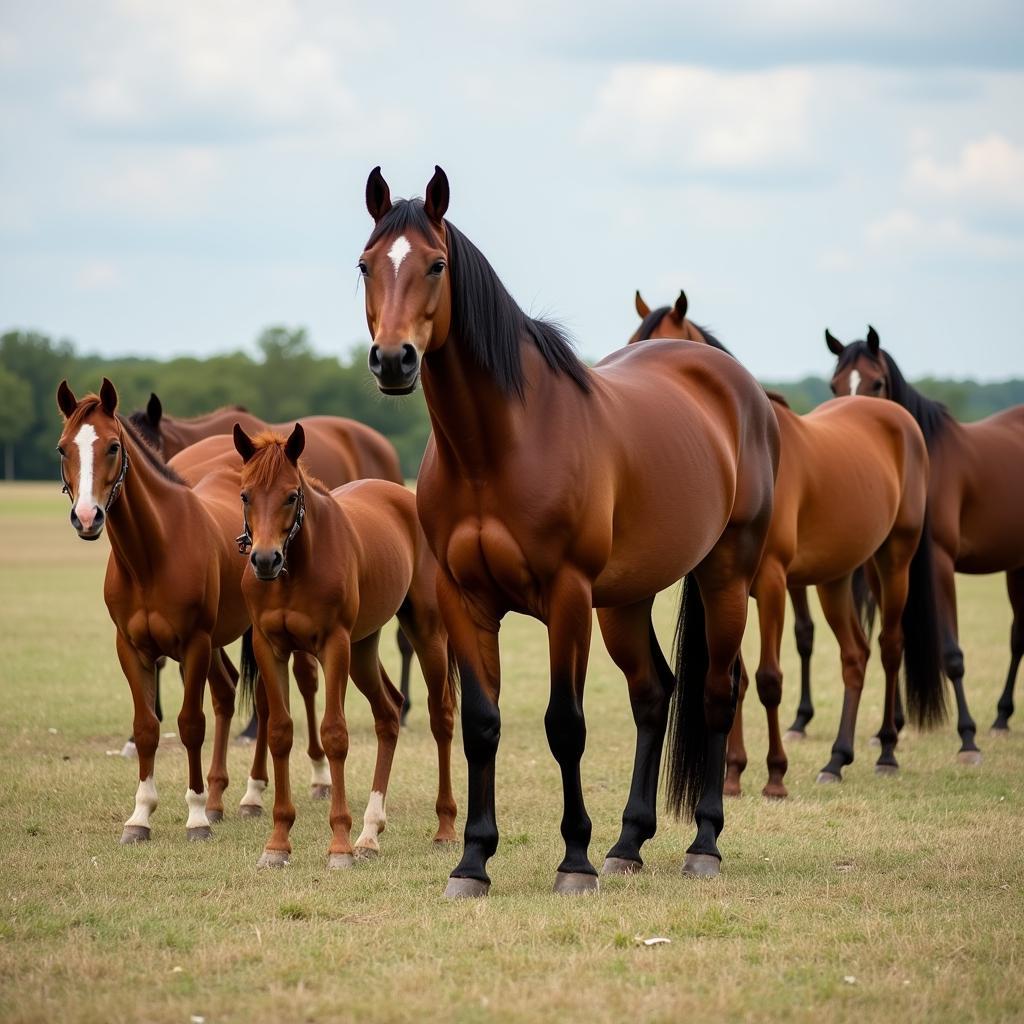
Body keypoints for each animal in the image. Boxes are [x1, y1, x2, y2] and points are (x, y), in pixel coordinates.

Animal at [57, 380, 254, 843]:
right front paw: (140, 817)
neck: (153, 553)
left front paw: (196, 818)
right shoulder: (133, 648)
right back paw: (218, 799)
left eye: (113, 446)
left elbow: (190, 724)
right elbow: (146, 728)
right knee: (225, 692)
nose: (87, 517)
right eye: (62, 449)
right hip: (218, 642)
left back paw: (256, 796)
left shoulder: (194, 644)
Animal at [234, 419, 458, 868]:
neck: (295, 570)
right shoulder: (271, 648)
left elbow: (334, 734)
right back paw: (370, 834)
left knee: (440, 716)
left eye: (291, 495)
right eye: (246, 494)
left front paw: (338, 844)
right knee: (388, 712)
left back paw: (444, 828)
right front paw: (277, 843)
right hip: (364, 649)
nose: (265, 560)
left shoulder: (333, 646)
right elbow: (280, 732)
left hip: (425, 634)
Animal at [358, 165, 774, 897]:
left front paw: (573, 861)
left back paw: (703, 846)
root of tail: (733, 383)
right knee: (653, 694)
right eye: (364, 266)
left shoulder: (567, 596)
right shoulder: (466, 601)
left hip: (724, 575)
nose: (393, 361)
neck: (497, 448)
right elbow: (482, 724)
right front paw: (472, 862)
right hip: (626, 601)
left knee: (717, 695)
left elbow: (565, 725)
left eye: (436, 264)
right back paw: (628, 843)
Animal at [720, 391, 942, 790]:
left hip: (893, 563)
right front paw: (733, 774)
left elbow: (768, 679)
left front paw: (775, 776)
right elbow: (737, 680)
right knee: (855, 656)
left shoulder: (773, 584)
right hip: (836, 581)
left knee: (890, 648)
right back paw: (836, 760)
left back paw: (887, 752)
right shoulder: (733, 589)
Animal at [823, 323, 1024, 757]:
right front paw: (890, 729)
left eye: (877, 382)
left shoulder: (940, 564)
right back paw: (1001, 718)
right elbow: (892, 641)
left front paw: (967, 738)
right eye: (834, 385)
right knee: (1019, 635)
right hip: (1016, 565)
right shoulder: (882, 569)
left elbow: (951, 653)